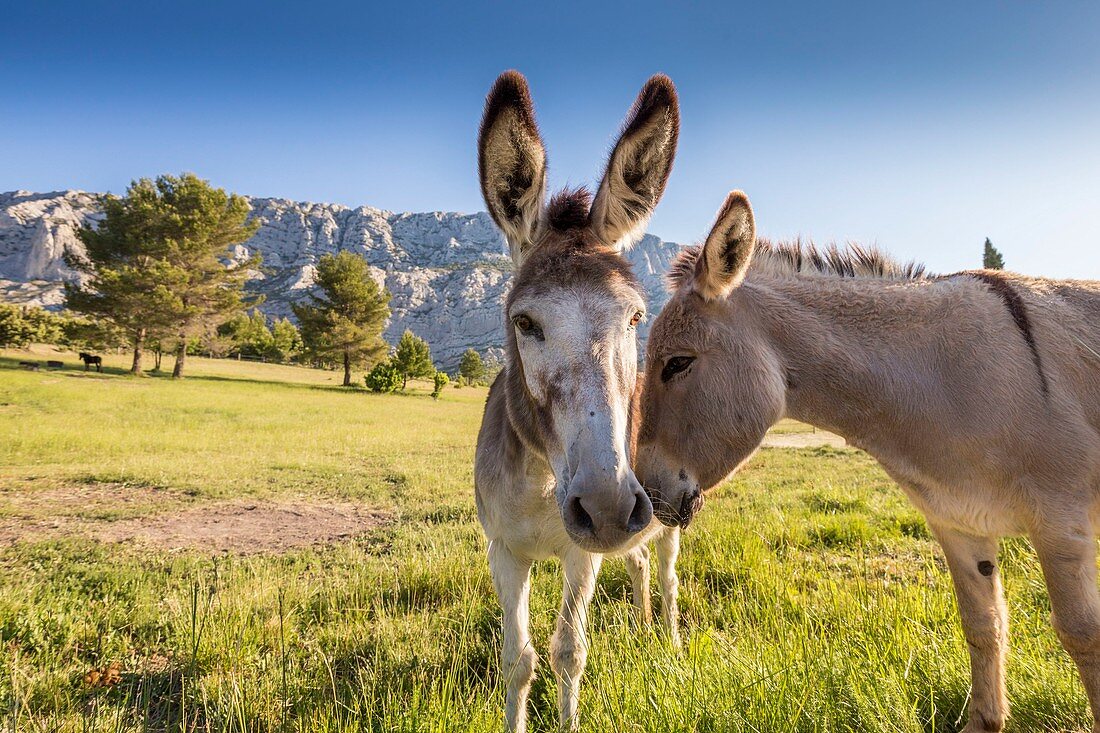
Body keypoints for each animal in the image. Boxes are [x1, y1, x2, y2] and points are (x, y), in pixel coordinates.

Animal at [477, 69, 682, 730]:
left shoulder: (580, 553)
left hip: (672, 511)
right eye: (525, 322)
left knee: (666, 572)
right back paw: (642, 629)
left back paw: (670, 642)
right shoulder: (503, 551)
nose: (609, 508)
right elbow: (518, 661)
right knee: (639, 562)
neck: (543, 479)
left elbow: (569, 652)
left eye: (635, 317)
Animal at [638, 189, 1100, 730]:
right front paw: (983, 721)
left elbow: (1082, 634)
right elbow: (983, 626)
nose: (646, 498)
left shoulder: (1059, 523)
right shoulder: (957, 523)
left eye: (677, 364)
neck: (937, 377)